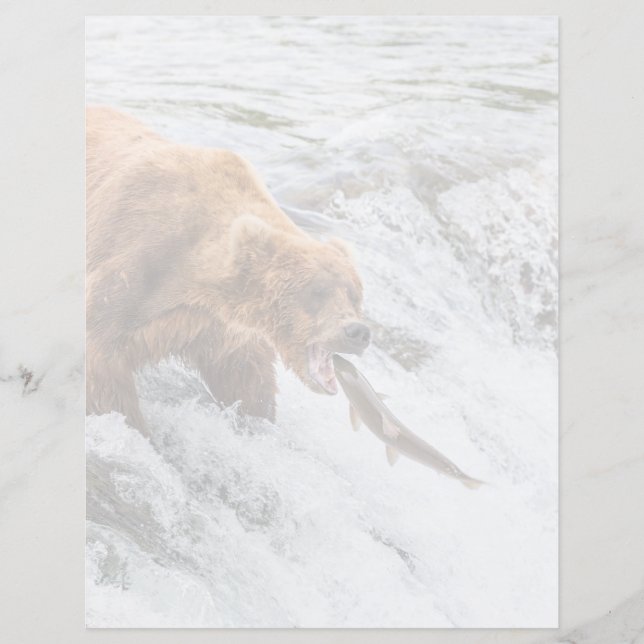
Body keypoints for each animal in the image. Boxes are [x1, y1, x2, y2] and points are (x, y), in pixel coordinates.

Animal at [86, 106, 370, 433]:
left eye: (354, 295)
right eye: (317, 291)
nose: (357, 331)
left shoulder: (218, 327)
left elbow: (246, 377)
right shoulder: (136, 262)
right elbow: (101, 361)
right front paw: (136, 426)